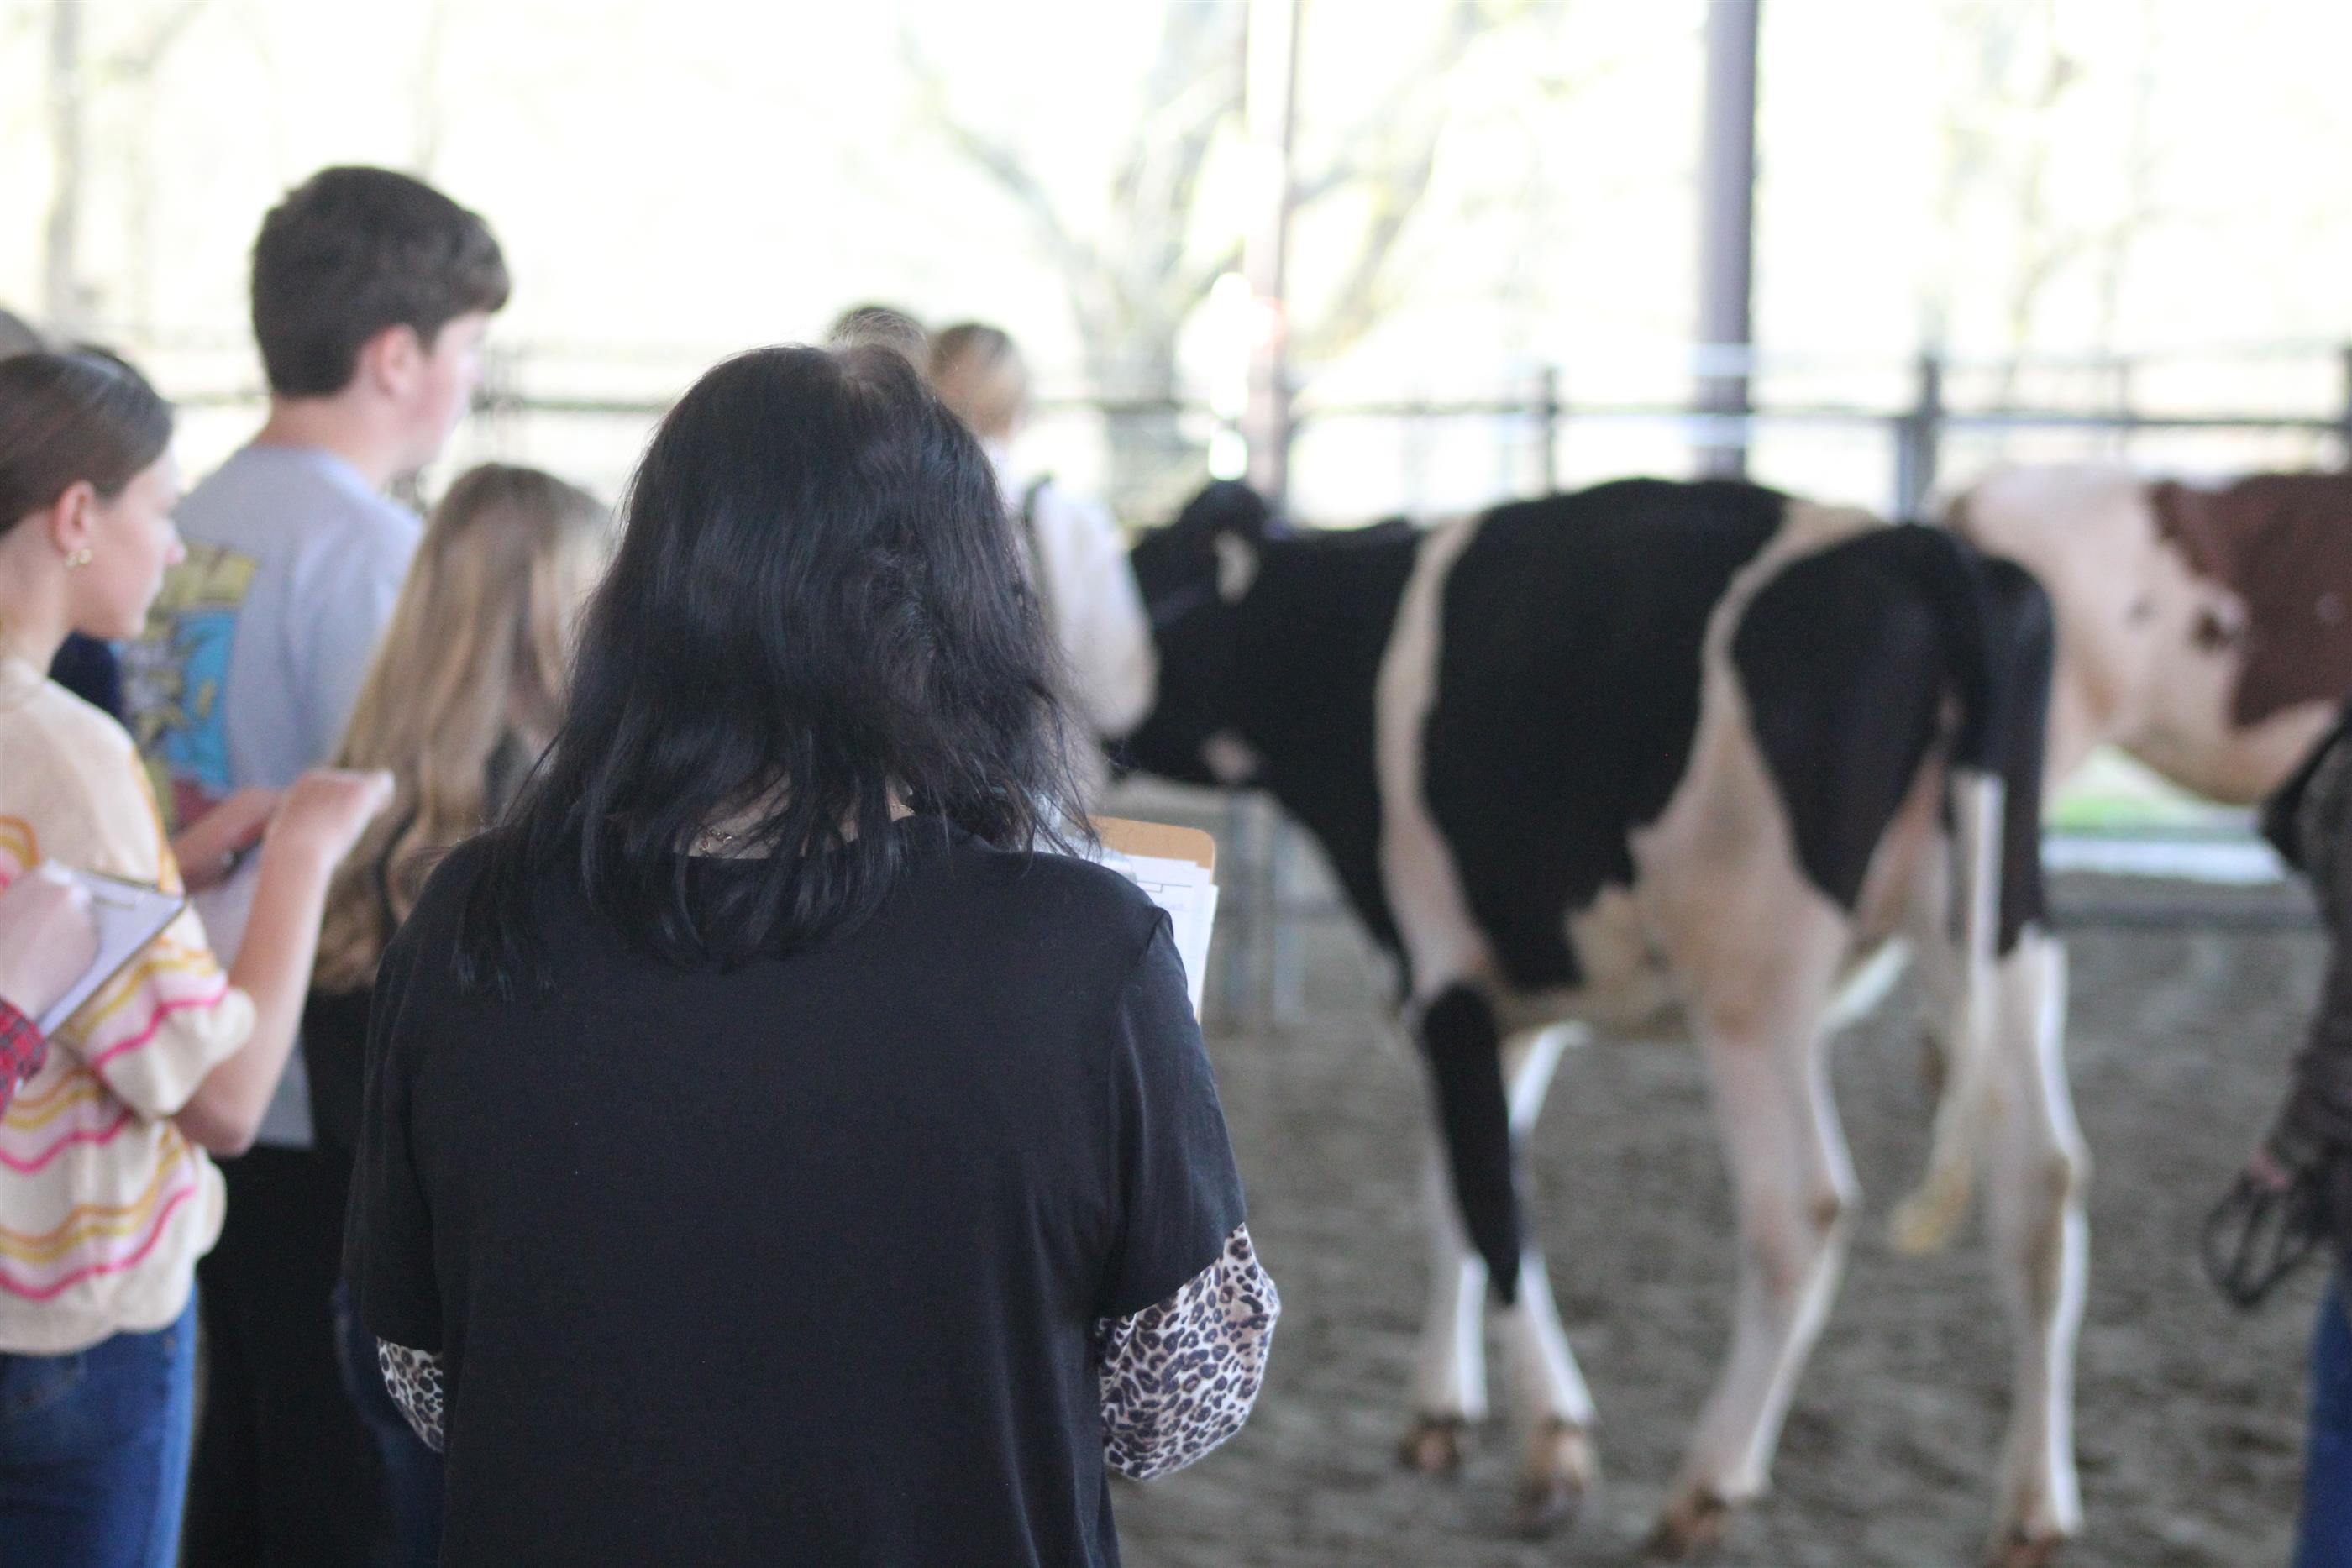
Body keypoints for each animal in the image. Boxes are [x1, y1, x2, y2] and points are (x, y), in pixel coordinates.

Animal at [1117, 478, 2083, 1565]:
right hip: (2005, 928)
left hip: (1752, 978)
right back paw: (2032, 1506)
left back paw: (1705, 1483)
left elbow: (1492, 1198)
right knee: (2040, 1189)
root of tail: (1917, 545)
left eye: (1144, 570)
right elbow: (1456, 1181)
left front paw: (1551, 1449)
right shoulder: (1518, 1008)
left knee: (1800, 1206)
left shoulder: (1441, 976)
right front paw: (1440, 1411)